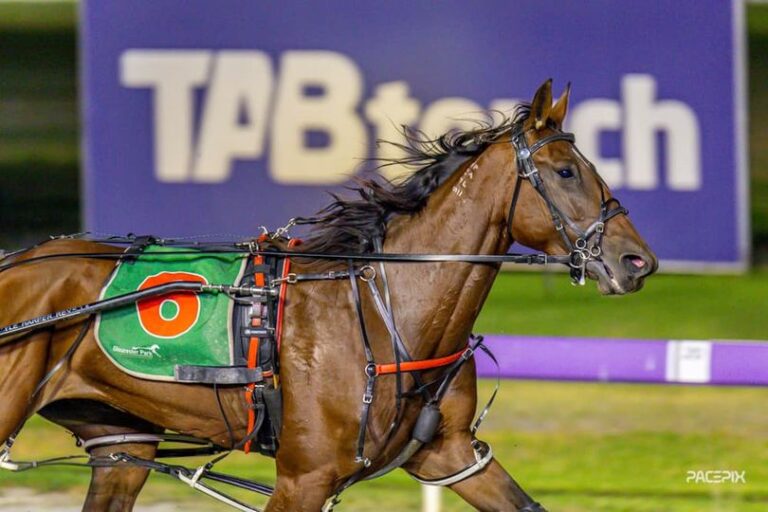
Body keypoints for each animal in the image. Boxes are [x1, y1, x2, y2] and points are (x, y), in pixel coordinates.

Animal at [0, 80, 657, 511]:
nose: (638, 262)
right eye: (566, 171)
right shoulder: (303, 477)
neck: (385, 312)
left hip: (118, 442)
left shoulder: (450, 455)